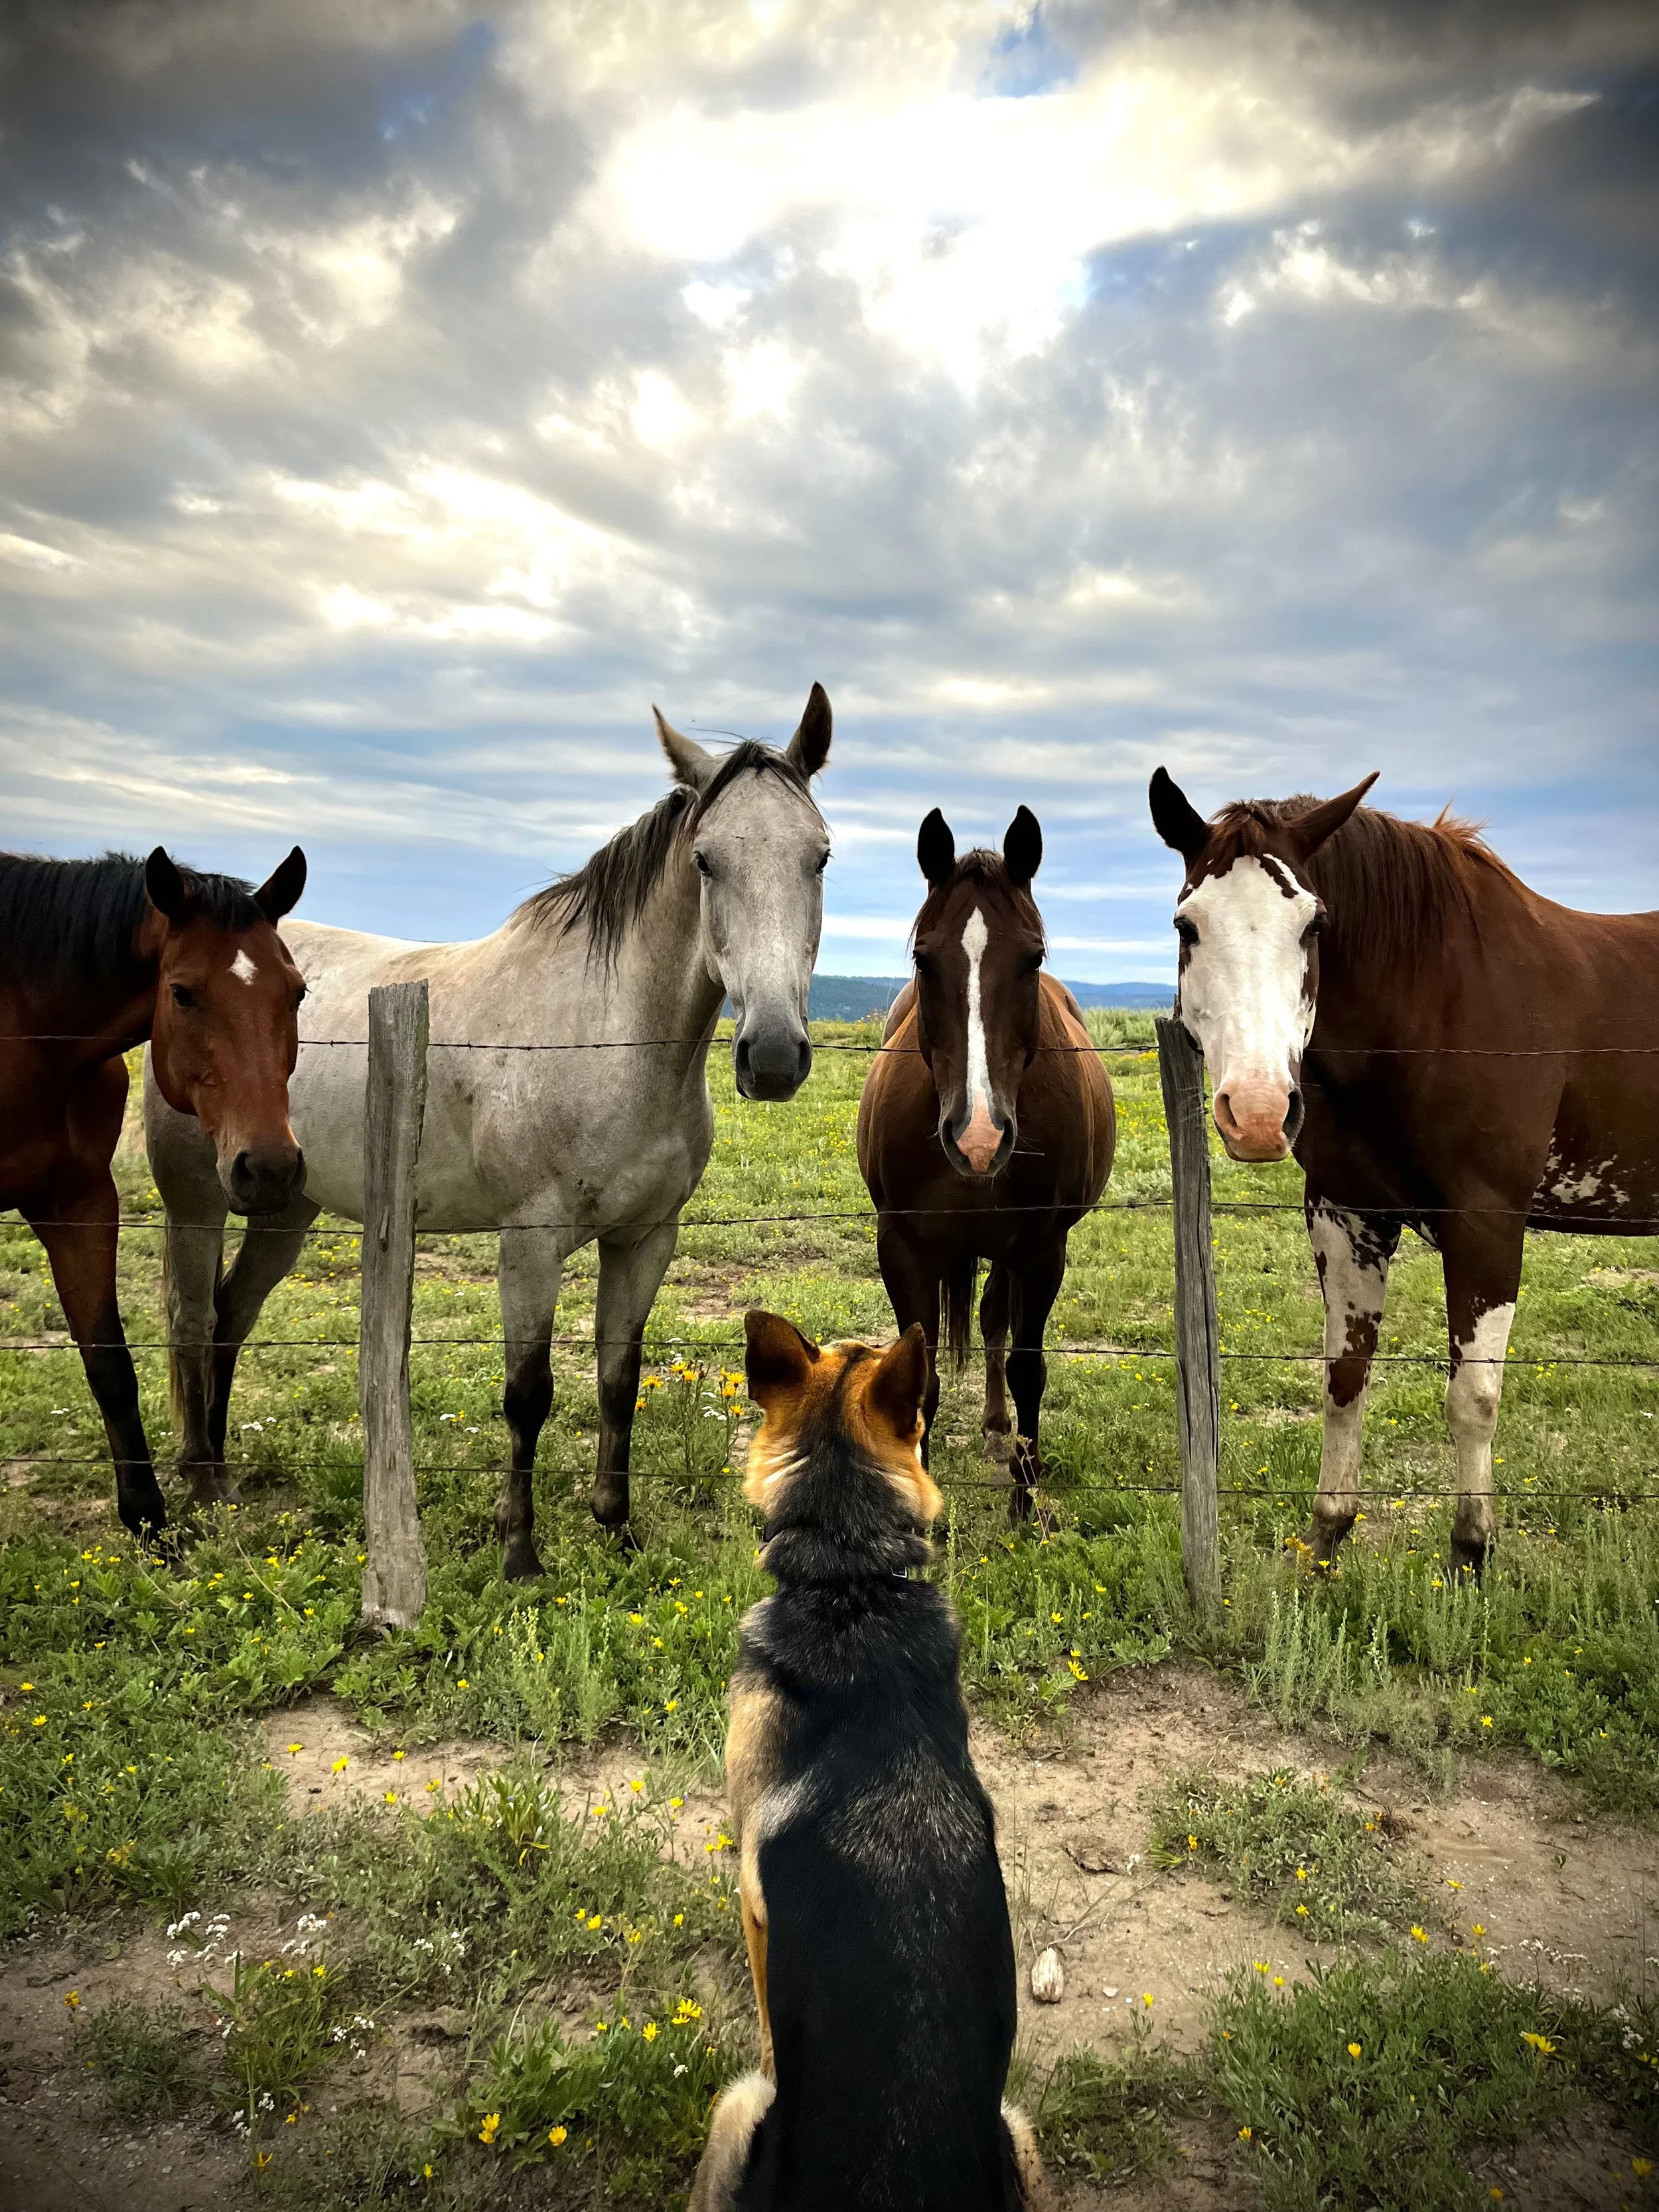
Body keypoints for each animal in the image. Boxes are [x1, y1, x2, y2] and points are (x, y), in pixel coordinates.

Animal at [0, 845, 308, 1538]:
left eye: (298, 991)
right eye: (182, 993)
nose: (271, 1168)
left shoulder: (80, 1202)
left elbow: (110, 1363)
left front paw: (148, 1518)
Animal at [146, 688, 834, 1577]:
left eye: (818, 857)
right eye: (707, 862)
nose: (774, 1055)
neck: (601, 1039)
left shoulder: (646, 1239)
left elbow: (618, 1377)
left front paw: (616, 1527)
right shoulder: (529, 1246)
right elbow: (528, 1393)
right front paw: (520, 1552)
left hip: (284, 1202)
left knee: (232, 1315)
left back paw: (225, 1475)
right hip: (196, 1200)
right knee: (192, 1320)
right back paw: (198, 1487)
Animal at [856, 807, 1116, 1519]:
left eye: (1032, 958)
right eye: (924, 957)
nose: (978, 1135)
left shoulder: (1042, 1247)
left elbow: (1028, 1365)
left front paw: (1027, 1500)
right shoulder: (903, 1245)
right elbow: (919, 1379)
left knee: (998, 1320)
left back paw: (1001, 1432)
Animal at [1149, 767, 1659, 1573]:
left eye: (1313, 926)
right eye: (1186, 925)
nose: (1258, 1112)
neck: (1435, 1007)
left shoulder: (1486, 1223)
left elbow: (1473, 1397)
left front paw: (1471, 1550)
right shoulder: (1346, 1214)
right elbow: (1344, 1377)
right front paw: (1327, 1536)